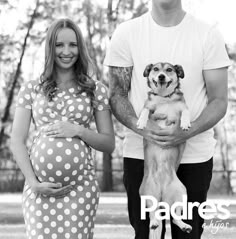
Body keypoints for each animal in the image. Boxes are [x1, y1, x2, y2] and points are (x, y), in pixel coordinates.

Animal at [137, 62, 193, 238]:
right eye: (155, 69)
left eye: (169, 70)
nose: (161, 76)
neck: (164, 98)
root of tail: (162, 195)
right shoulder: (149, 108)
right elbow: (145, 110)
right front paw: (141, 122)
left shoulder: (182, 108)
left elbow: (186, 111)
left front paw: (185, 123)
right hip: (148, 195)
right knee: (153, 213)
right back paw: (154, 222)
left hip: (181, 194)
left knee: (174, 218)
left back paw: (184, 226)